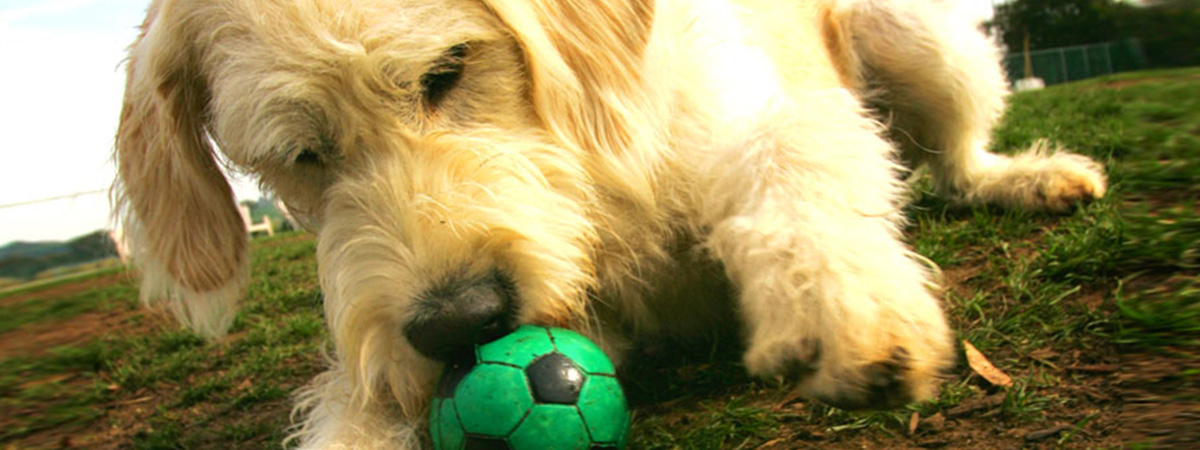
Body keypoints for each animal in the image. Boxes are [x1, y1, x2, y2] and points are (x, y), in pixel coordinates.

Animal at [112, 0, 1104, 448]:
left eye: (446, 70)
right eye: (302, 154)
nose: (459, 323)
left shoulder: (748, 109)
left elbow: (793, 153)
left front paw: (838, 297)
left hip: (924, 40)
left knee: (957, 159)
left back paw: (1030, 177)